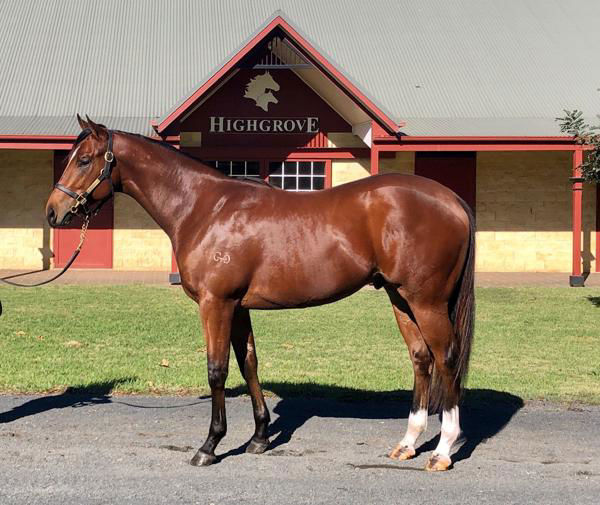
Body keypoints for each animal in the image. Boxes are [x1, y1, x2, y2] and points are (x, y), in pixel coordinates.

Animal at [45, 116, 474, 470]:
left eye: (84, 160)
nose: (53, 212)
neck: (204, 208)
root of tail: (452, 200)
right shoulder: (238, 306)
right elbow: (249, 362)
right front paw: (260, 438)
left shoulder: (216, 303)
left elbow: (216, 370)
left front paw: (209, 446)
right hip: (400, 298)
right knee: (421, 358)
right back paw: (408, 443)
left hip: (427, 302)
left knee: (446, 358)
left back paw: (442, 451)